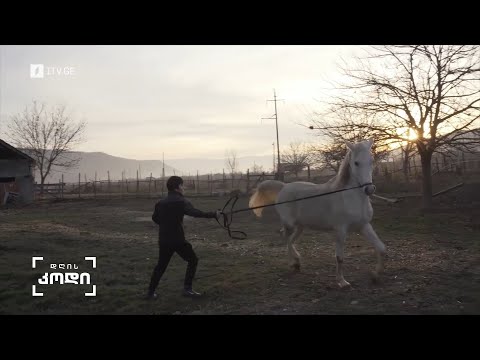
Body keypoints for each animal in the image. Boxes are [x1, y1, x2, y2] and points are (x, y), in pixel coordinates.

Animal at [249, 138, 384, 286]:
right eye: (356, 163)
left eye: (371, 160)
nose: (369, 189)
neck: (350, 198)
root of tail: (283, 187)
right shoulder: (340, 230)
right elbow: (339, 257)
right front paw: (342, 282)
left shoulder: (364, 226)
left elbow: (381, 248)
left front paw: (375, 276)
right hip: (290, 225)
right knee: (285, 237)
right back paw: (292, 263)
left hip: (300, 227)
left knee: (289, 239)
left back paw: (297, 263)